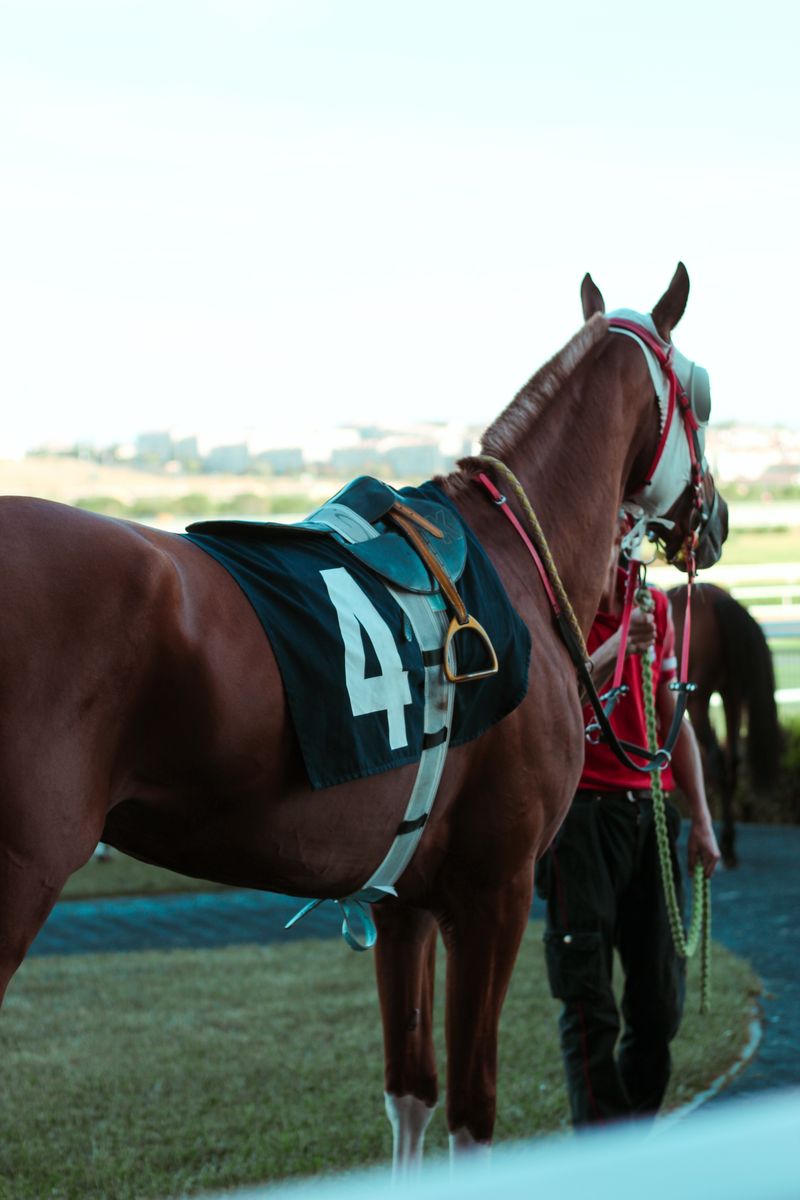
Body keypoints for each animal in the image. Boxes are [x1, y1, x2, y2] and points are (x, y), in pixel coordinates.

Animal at [0, 267, 724, 1166]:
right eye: (704, 396)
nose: (718, 519)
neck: (519, 559)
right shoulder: (497, 892)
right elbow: (472, 1114)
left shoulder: (402, 898)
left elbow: (409, 1094)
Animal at [666, 585, 777, 868]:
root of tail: (721, 600)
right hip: (732, 694)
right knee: (733, 759)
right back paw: (728, 843)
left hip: (698, 698)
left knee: (715, 759)